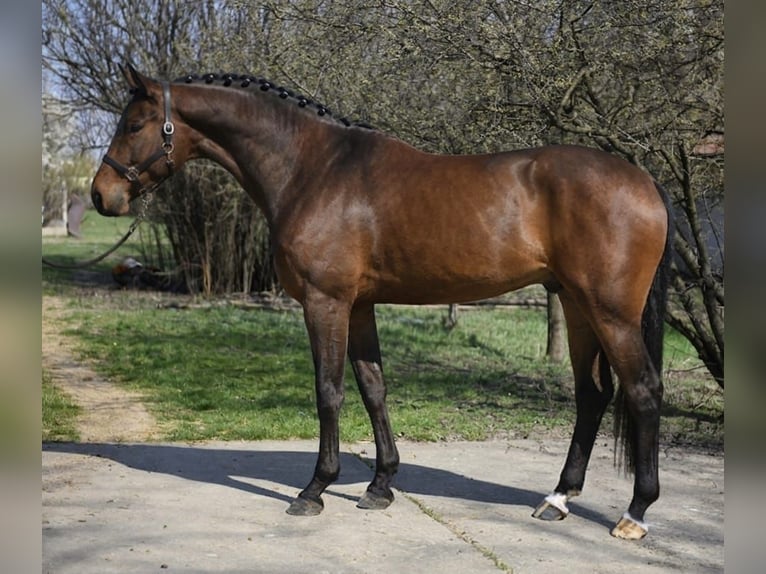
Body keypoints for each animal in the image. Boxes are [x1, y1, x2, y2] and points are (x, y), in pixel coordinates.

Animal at [91, 64, 673, 540]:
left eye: (134, 125)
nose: (101, 195)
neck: (312, 169)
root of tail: (646, 181)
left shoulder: (324, 302)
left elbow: (328, 391)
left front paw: (315, 489)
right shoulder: (359, 306)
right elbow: (374, 388)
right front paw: (380, 485)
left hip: (611, 313)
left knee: (643, 391)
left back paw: (635, 513)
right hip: (576, 307)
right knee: (593, 395)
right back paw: (558, 499)